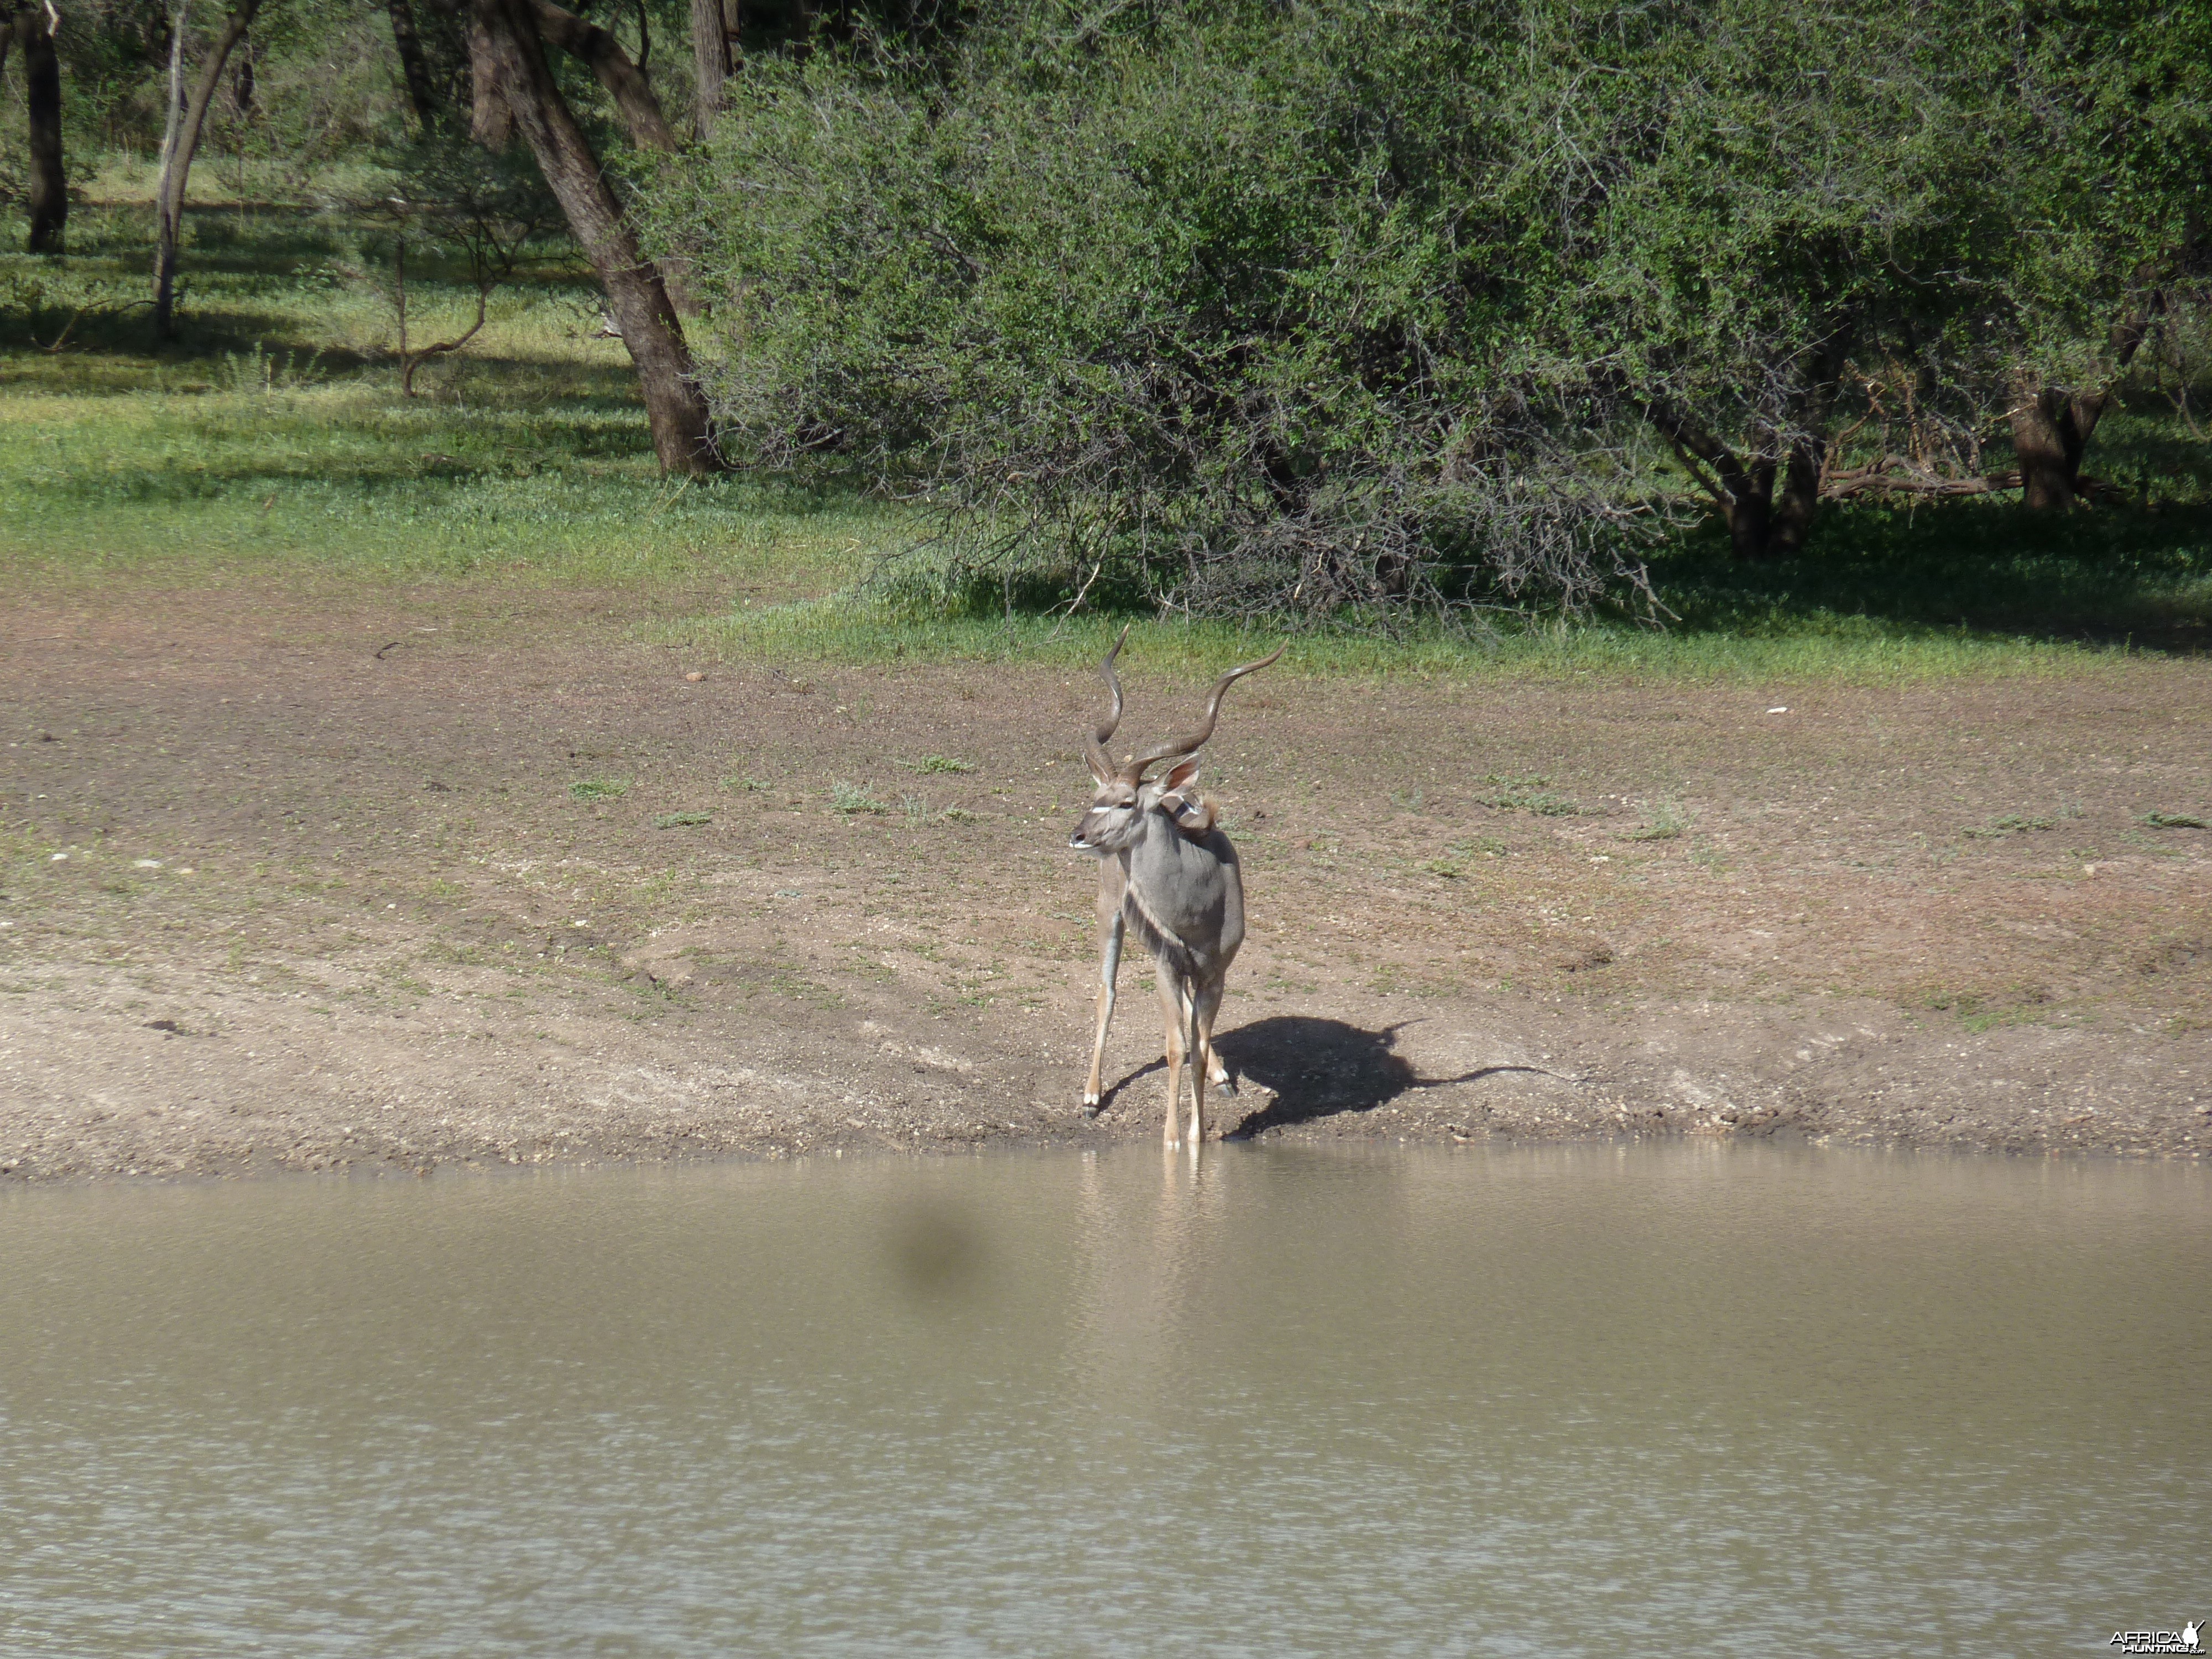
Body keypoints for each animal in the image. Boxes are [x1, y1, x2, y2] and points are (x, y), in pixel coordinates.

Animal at [1066, 628, 1292, 1150]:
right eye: (1096, 797)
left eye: (1126, 802)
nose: (1080, 835)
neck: (1197, 906)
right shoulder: (1165, 968)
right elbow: (1174, 1047)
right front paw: (1173, 1140)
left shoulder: (1215, 973)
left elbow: (1199, 1042)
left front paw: (1198, 1136)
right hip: (1111, 917)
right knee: (1107, 991)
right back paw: (1090, 1097)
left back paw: (1221, 1075)